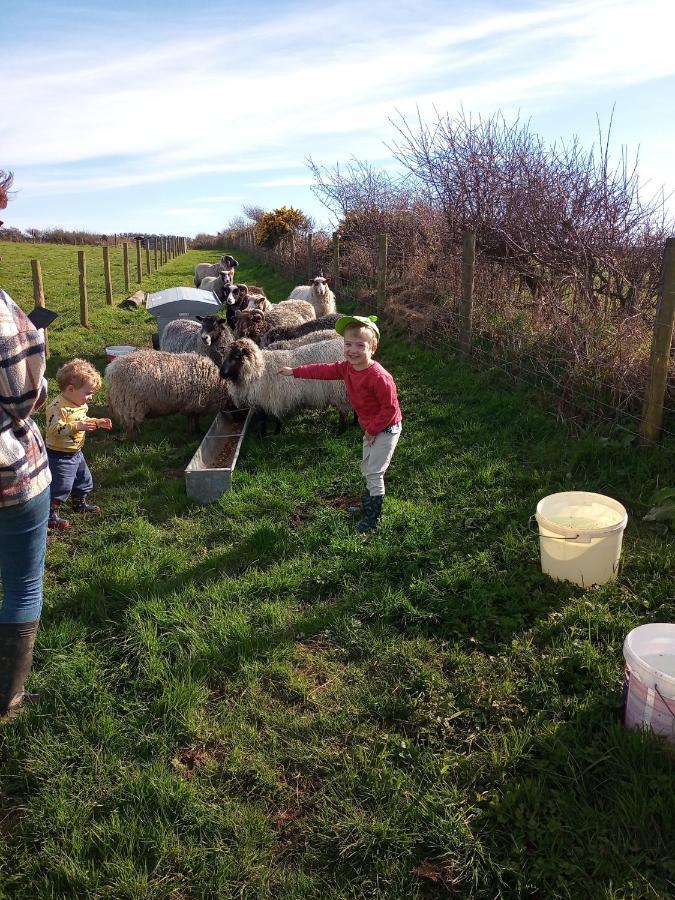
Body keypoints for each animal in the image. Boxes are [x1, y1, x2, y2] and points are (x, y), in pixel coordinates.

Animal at [219, 338, 352, 436]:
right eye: (225, 355)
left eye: (236, 356)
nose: (221, 374)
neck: (260, 369)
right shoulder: (262, 402)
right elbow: (263, 419)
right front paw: (264, 434)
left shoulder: (275, 399)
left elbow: (275, 417)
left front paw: (274, 433)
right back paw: (353, 425)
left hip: (340, 392)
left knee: (344, 412)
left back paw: (341, 431)